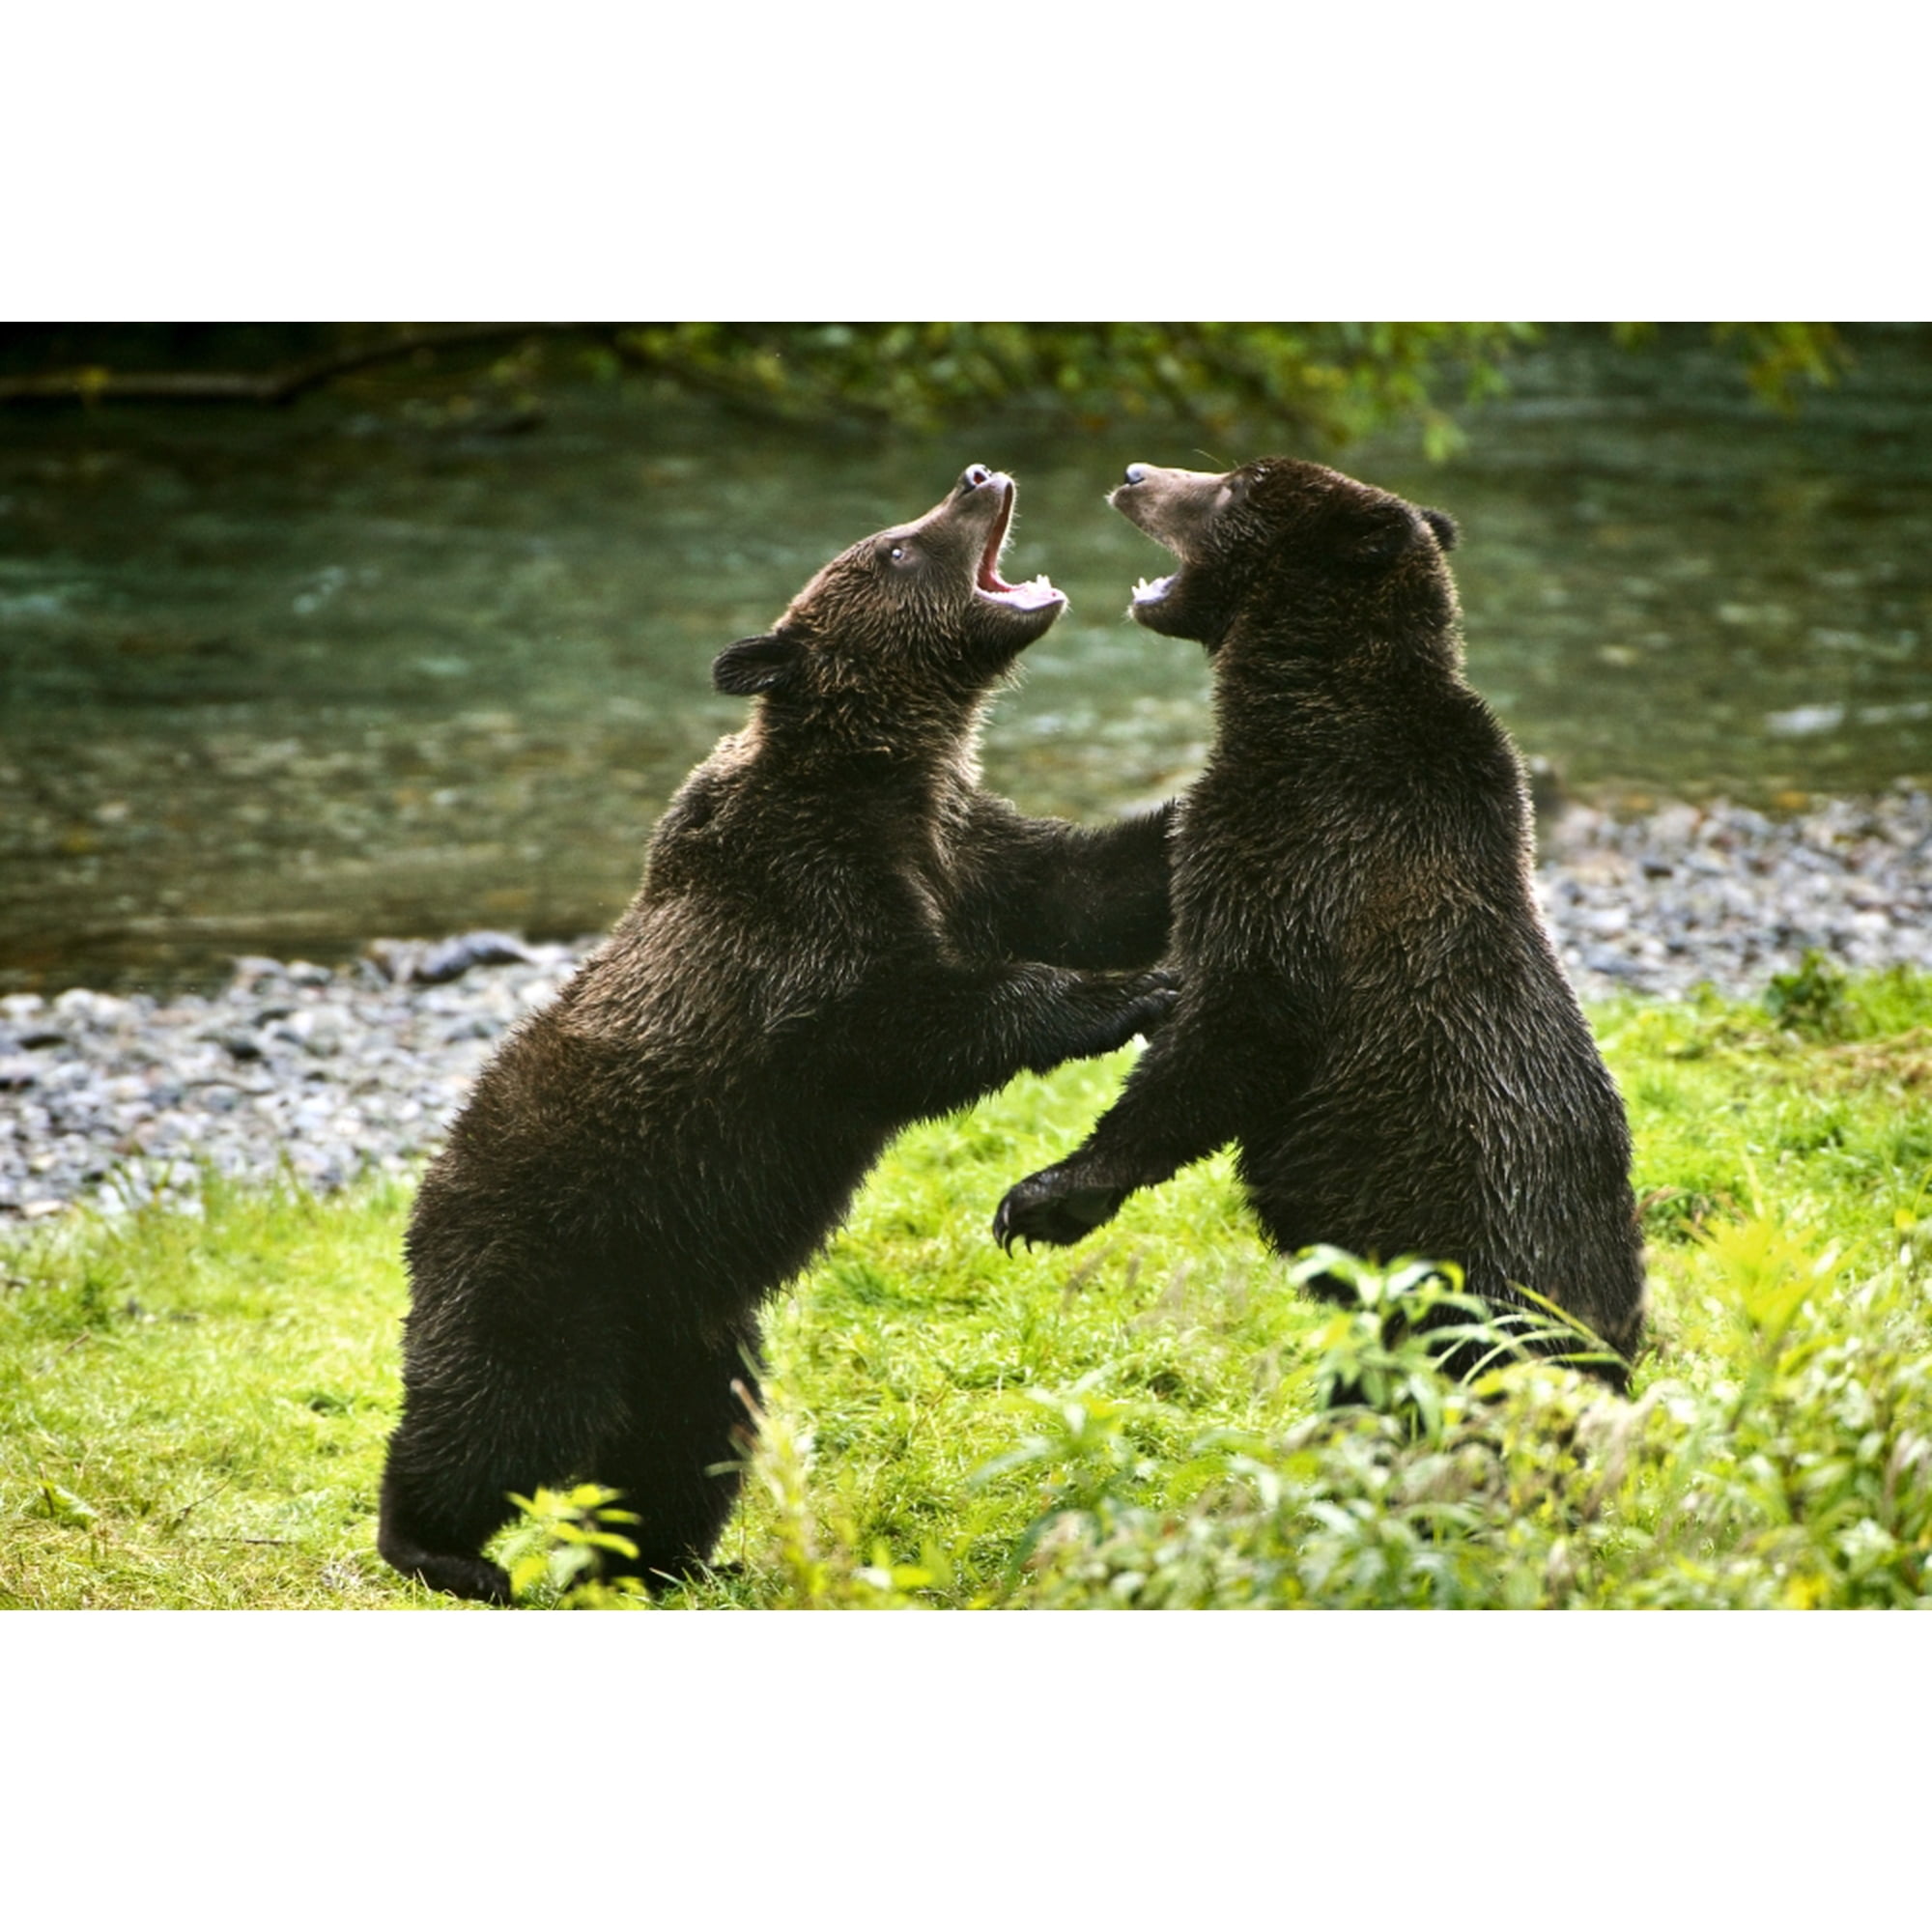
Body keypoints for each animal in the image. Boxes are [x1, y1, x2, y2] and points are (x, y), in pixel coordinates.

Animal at [377, 463, 1180, 1602]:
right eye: (896, 545)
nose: (979, 475)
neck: (883, 778)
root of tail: (428, 1193)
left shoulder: (967, 854)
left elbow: (1091, 883)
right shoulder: (804, 922)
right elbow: (904, 1025)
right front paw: (1133, 992)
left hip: (686, 1317)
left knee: (688, 1443)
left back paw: (668, 1559)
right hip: (545, 1260)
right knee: (495, 1414)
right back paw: (439, 1546)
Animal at [993, 458, 1646, 1389]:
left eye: (1237, 484)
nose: (1136, 473)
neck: (1301, 699)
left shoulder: (1303, 851)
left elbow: (1240, 1026)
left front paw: (1048, 1195)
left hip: (1472, 1276)